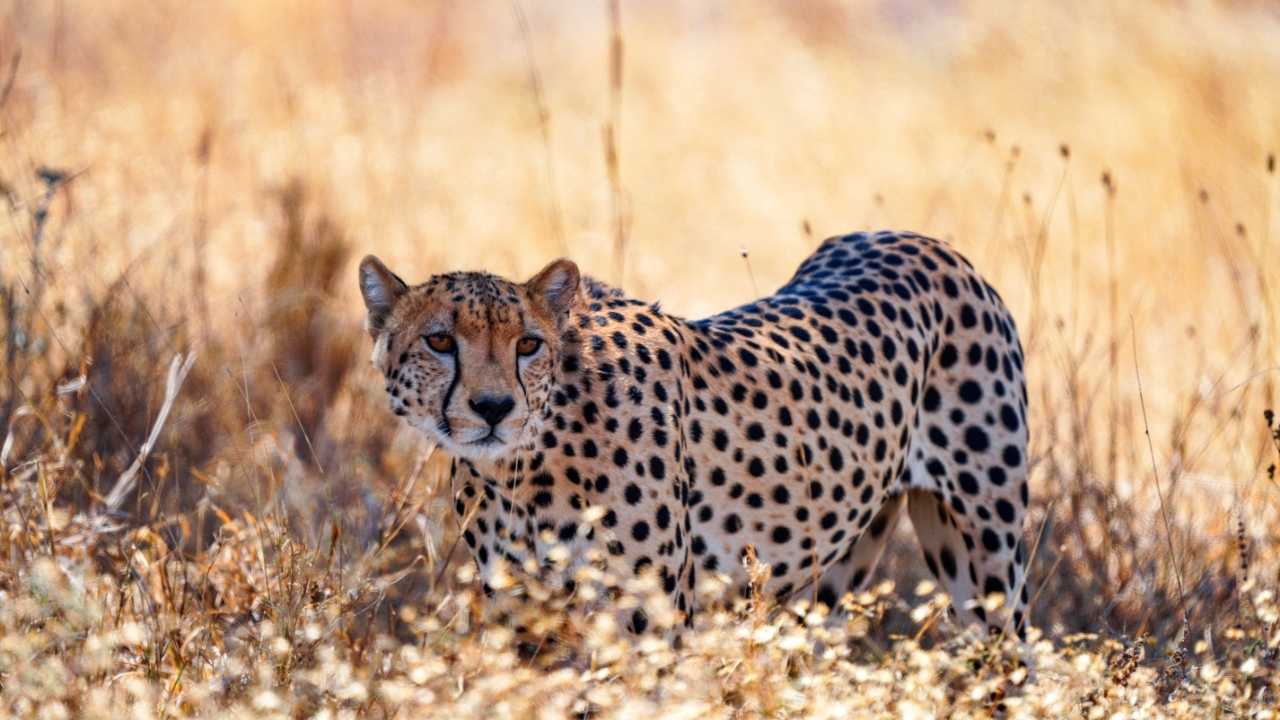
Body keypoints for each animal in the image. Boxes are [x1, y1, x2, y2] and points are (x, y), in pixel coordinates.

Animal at [358, 230, 1030, 637]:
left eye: (527, 345)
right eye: (440, 341)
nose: (495, 407)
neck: (525, 465)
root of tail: (913, 239)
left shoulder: (651, 620)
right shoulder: (524, 616)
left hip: (988, 564)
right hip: (832, 574)